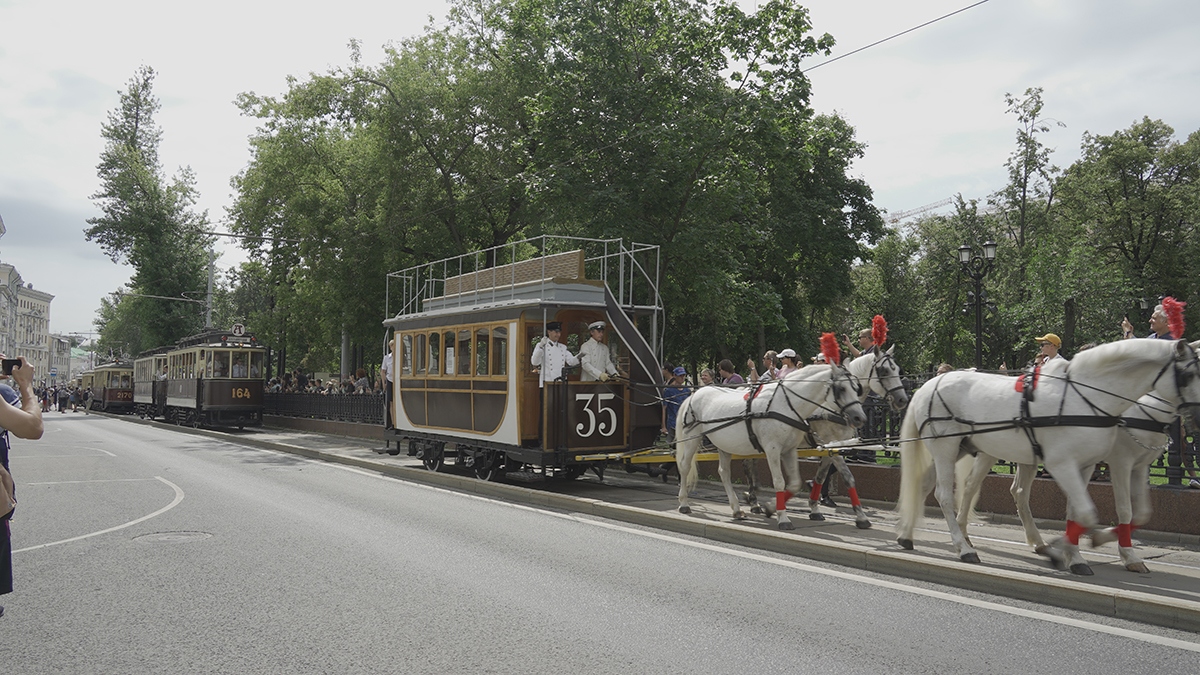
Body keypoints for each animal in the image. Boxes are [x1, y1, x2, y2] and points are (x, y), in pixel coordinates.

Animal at [676, 360, 864, 528]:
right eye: (842, 388)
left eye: (857, 388)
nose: (859, 417)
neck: (786, 404)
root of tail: (694, 395)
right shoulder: (773, 449)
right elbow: (779, 482)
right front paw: (783, 518)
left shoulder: (790, 450)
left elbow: (795, 483)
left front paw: (771, 507)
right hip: (692, 437)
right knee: (685, 466)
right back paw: (684, 503)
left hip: (724, 444)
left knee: (724, 473)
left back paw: (737, 509)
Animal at [897, 336, 1200, 571]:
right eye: (1188, 375)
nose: (1197, 416)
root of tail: (929, 384)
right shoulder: (1085, 463)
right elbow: (1096, 512)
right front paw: (1066, 551)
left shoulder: (1096, 466)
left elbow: (1088, 512)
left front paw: (1076, 556)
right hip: (947, 449)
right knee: (945, 494)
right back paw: (963, 547)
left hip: (965, 449)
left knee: (929, 485)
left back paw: (907, 535)